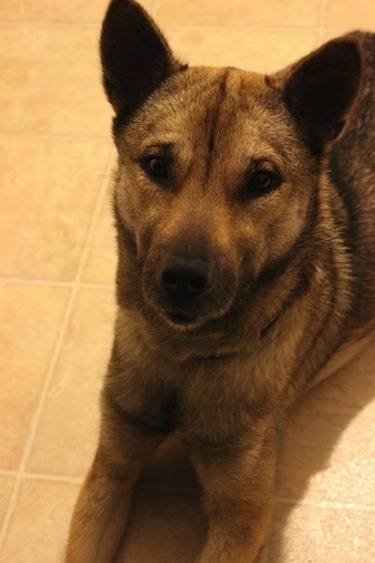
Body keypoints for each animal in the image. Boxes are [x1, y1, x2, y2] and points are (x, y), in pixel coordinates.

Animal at [65, 2, 375, 560]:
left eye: (262, 180)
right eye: (156, 165)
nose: (184, 279)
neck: (184, 358)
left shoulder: (242, 513)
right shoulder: (112, 467)